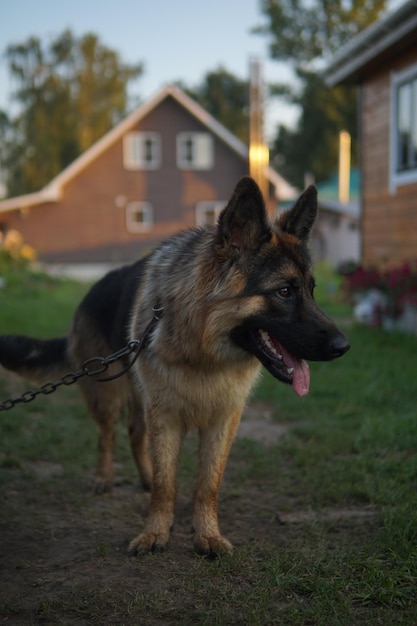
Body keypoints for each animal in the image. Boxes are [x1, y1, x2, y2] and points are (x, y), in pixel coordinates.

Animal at [0, 177, 348, 556]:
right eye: (284, 291)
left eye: (312, 291)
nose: (343, 346)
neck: (202, 352)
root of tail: (90, 292)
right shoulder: (165, 416)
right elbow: (166, 483)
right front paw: (155, 532)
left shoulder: (222, 422)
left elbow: (207, 485)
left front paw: (207, 534)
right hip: (108, 394)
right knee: (107, 435)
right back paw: (104, 477)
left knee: (135, 434)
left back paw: (143, 477)